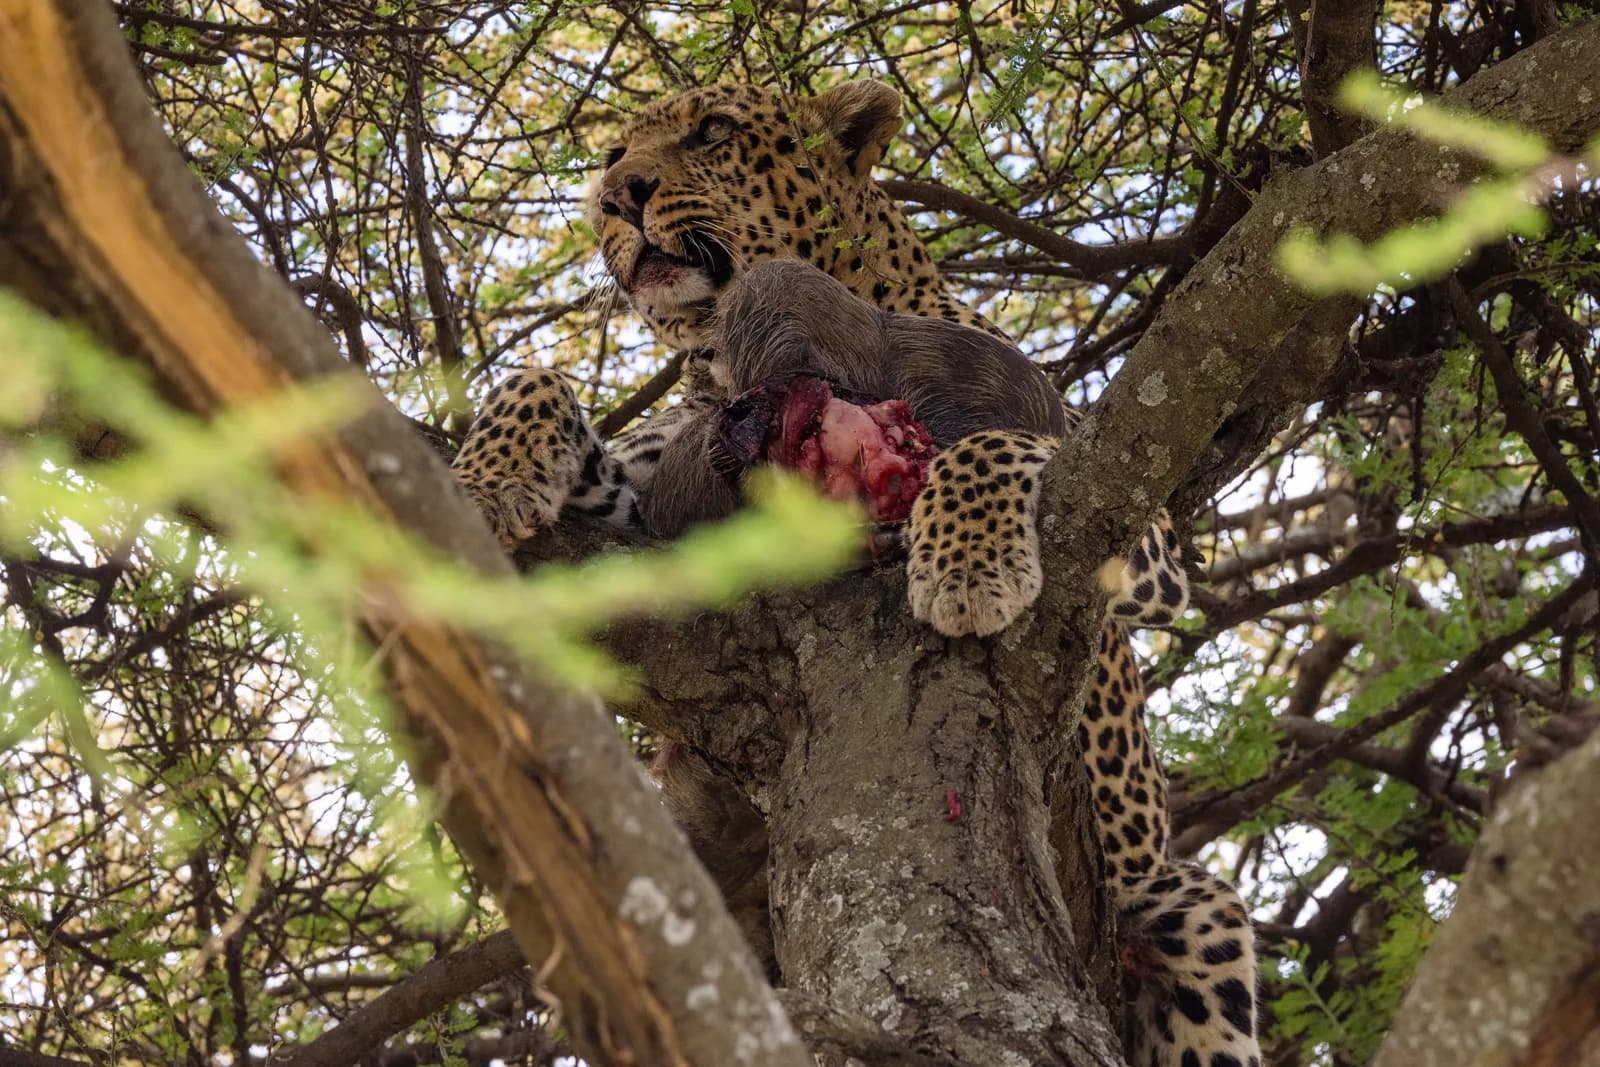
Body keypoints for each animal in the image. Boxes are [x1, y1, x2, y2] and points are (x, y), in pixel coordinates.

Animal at [449, 79, 1259, 1067]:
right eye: (611, 155)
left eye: (711, 132)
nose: (618, 197)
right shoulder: (649, 502)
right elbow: (538, 379)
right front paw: (483, 479)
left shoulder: (1137, 519)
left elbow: (992, 444)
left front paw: (967, 564)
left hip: (1186, 904)